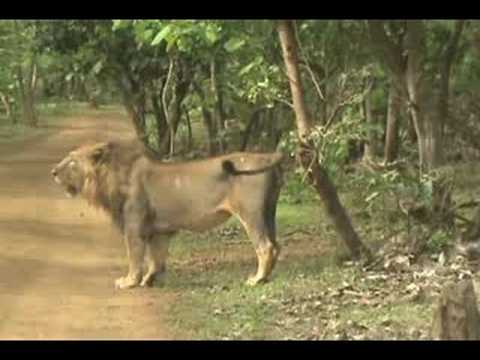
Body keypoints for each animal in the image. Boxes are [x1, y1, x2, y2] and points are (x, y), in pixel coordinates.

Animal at [51, 141, 284, 290]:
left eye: (72, 162)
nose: (53, 172)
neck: (111, 177)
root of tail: (266, 156)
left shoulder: (133, 227)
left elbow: (135, 257)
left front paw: (129, 282)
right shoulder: (160, 231)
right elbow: (157, 258)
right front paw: (149, 280)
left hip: (250, 214)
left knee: (265, 247)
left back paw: (257, 280)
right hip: (269, 211)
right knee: (276, 245)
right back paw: (266, 278)